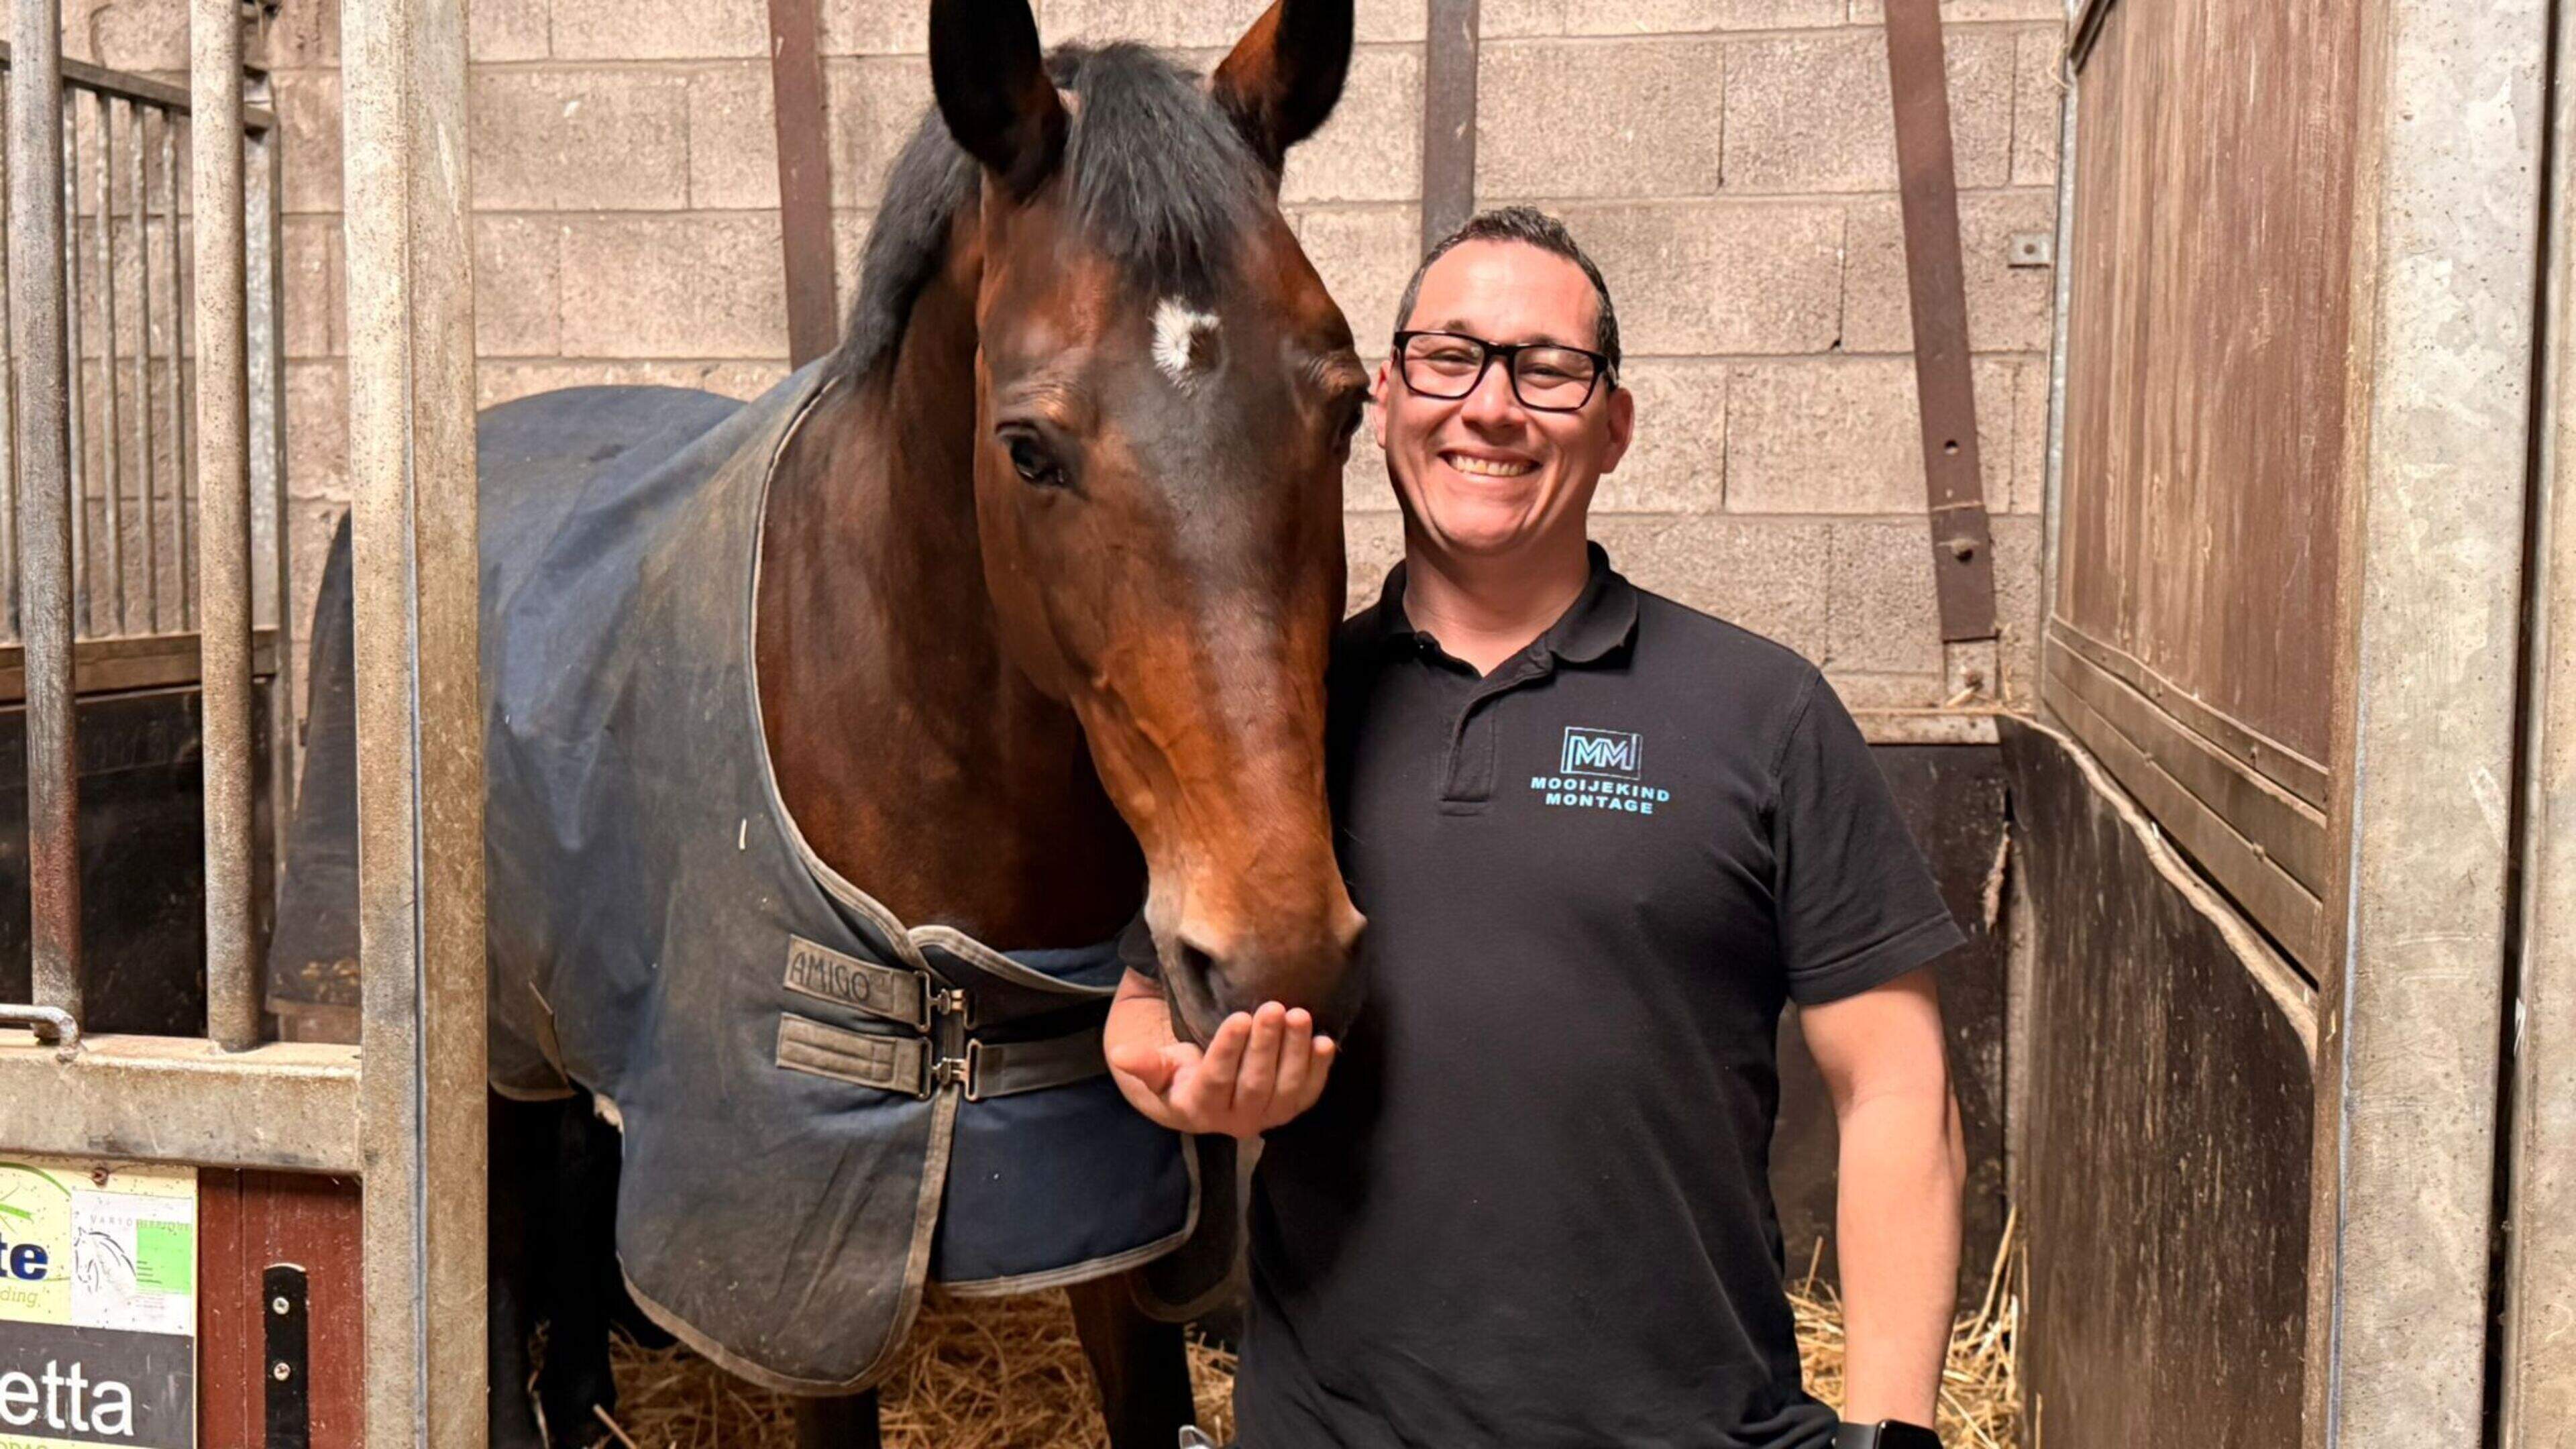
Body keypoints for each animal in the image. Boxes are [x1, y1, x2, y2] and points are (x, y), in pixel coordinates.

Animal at [272, 0, 1370, 1443]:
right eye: (1028, 447)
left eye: (1348, 406)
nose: (1276, 954)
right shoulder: (804, 1273)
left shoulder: (1104, 1227)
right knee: (499, 1231)